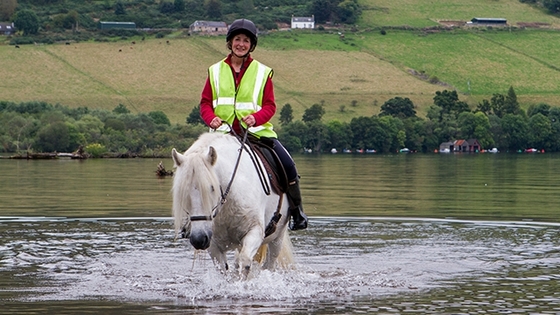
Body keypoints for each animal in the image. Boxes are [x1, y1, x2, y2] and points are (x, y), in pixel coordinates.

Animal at [171, 132, 294, 276]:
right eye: (183, 191)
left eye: (211, 188)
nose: (199, 239)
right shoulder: (213, 244)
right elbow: (225, 269)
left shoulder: (255, 232)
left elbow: (244, 263)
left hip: (277, 237)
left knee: (269, 263)